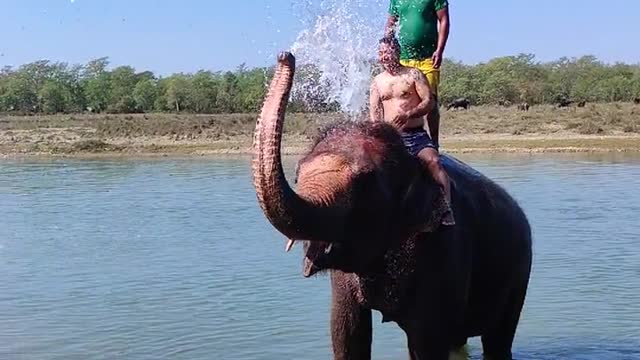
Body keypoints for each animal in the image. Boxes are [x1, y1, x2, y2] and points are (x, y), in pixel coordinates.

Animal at [252, 51, 532, 360]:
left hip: (520, 271)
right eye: (298, 174)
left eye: (365, 181)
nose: (285, 55)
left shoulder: (445, 247)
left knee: (498, 338)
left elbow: (427, 341)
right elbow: (346, 332)